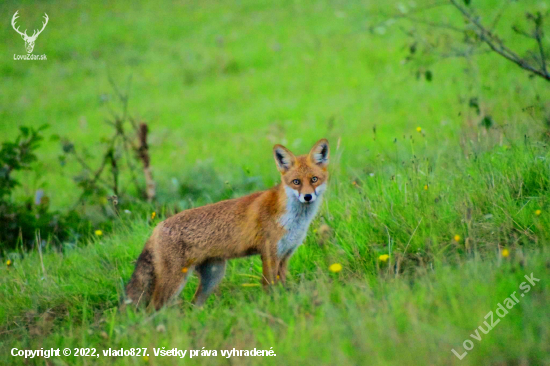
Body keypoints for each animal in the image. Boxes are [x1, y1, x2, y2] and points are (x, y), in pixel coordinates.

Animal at [126, 139, 330, 308]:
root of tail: (157, 226)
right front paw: (273, 307)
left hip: (213, 276)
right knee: (152, 309)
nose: (307, 197)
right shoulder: (269, 254)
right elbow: (269, 288)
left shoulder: (286, 254)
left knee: (193, 306)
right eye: (296, 182)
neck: (293, 219)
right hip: (175, 281)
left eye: (314, 179)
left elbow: (282, 285)